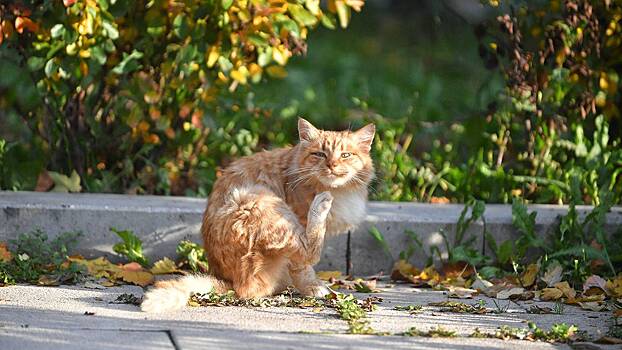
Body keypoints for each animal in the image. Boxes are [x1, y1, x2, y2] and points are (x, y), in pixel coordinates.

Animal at [141, 119, 376, 314]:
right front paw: (313, 287)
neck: (339, 191)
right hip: (257, 197)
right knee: (306, 253)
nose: (331, 165)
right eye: (319, 154)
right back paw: (321, 205)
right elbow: (303, 267)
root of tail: (229, 281)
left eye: (345, 155)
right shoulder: (297, 222)